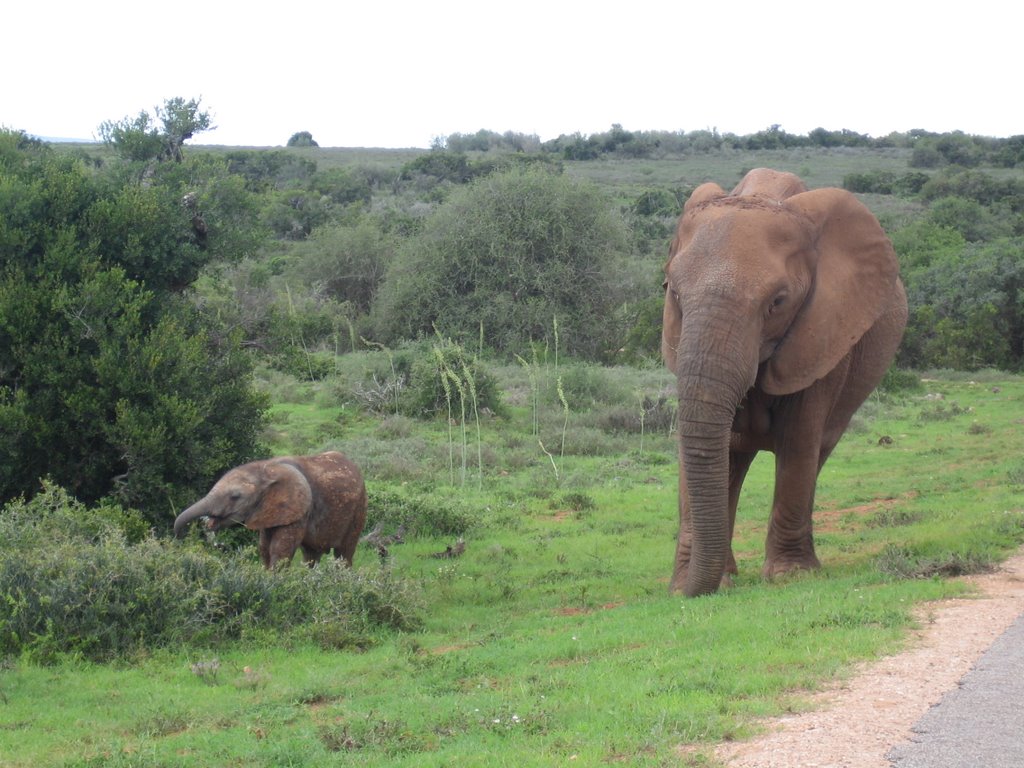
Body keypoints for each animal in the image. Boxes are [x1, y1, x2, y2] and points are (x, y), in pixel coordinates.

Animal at [173, 450, 368, 573]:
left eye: (235, 497)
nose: (179, 536)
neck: (267, 469)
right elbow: (264, 547)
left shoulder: (300, 509)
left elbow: (279, 549)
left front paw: (276, 581)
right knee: (311, 554)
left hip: (359, 507)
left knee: (344, 552)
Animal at [659, 169, 909, 593]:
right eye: (673, 293)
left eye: (777, 302)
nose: (691, 593)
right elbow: (702, 447)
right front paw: (687, 586)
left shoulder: (823, 333)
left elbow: (797, 442)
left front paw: (791, 576)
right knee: (734, 458)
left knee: (814, 454)